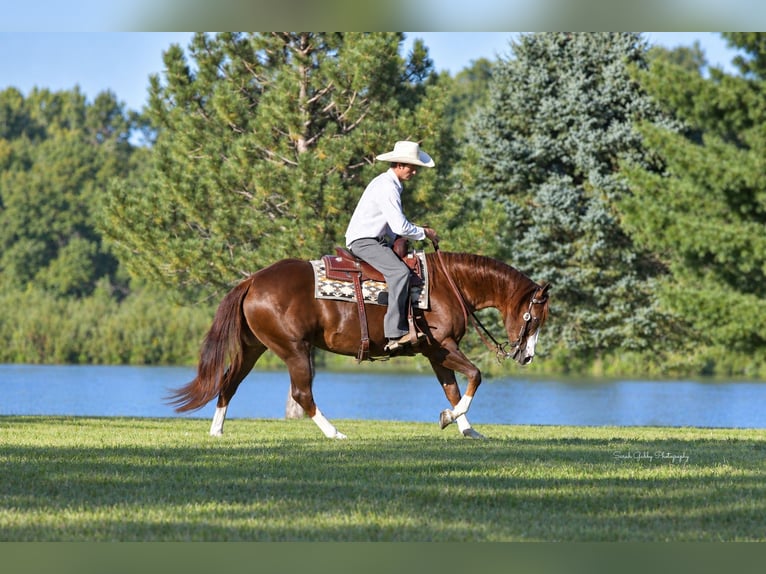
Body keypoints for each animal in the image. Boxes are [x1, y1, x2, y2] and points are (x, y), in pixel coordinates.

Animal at [168, 248, 550, 439]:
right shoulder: (443, 345)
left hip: (254, 347)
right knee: (302, 394)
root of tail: (252, 280)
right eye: (534, 318)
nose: (527, 357)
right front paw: (451, 419)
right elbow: (474, 376)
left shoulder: (434, 351)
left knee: (229, 382)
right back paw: (335, 433)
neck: (447, 283)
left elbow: (453, 389)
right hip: (294, 349)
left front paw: (466, 429)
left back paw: (217, 431)